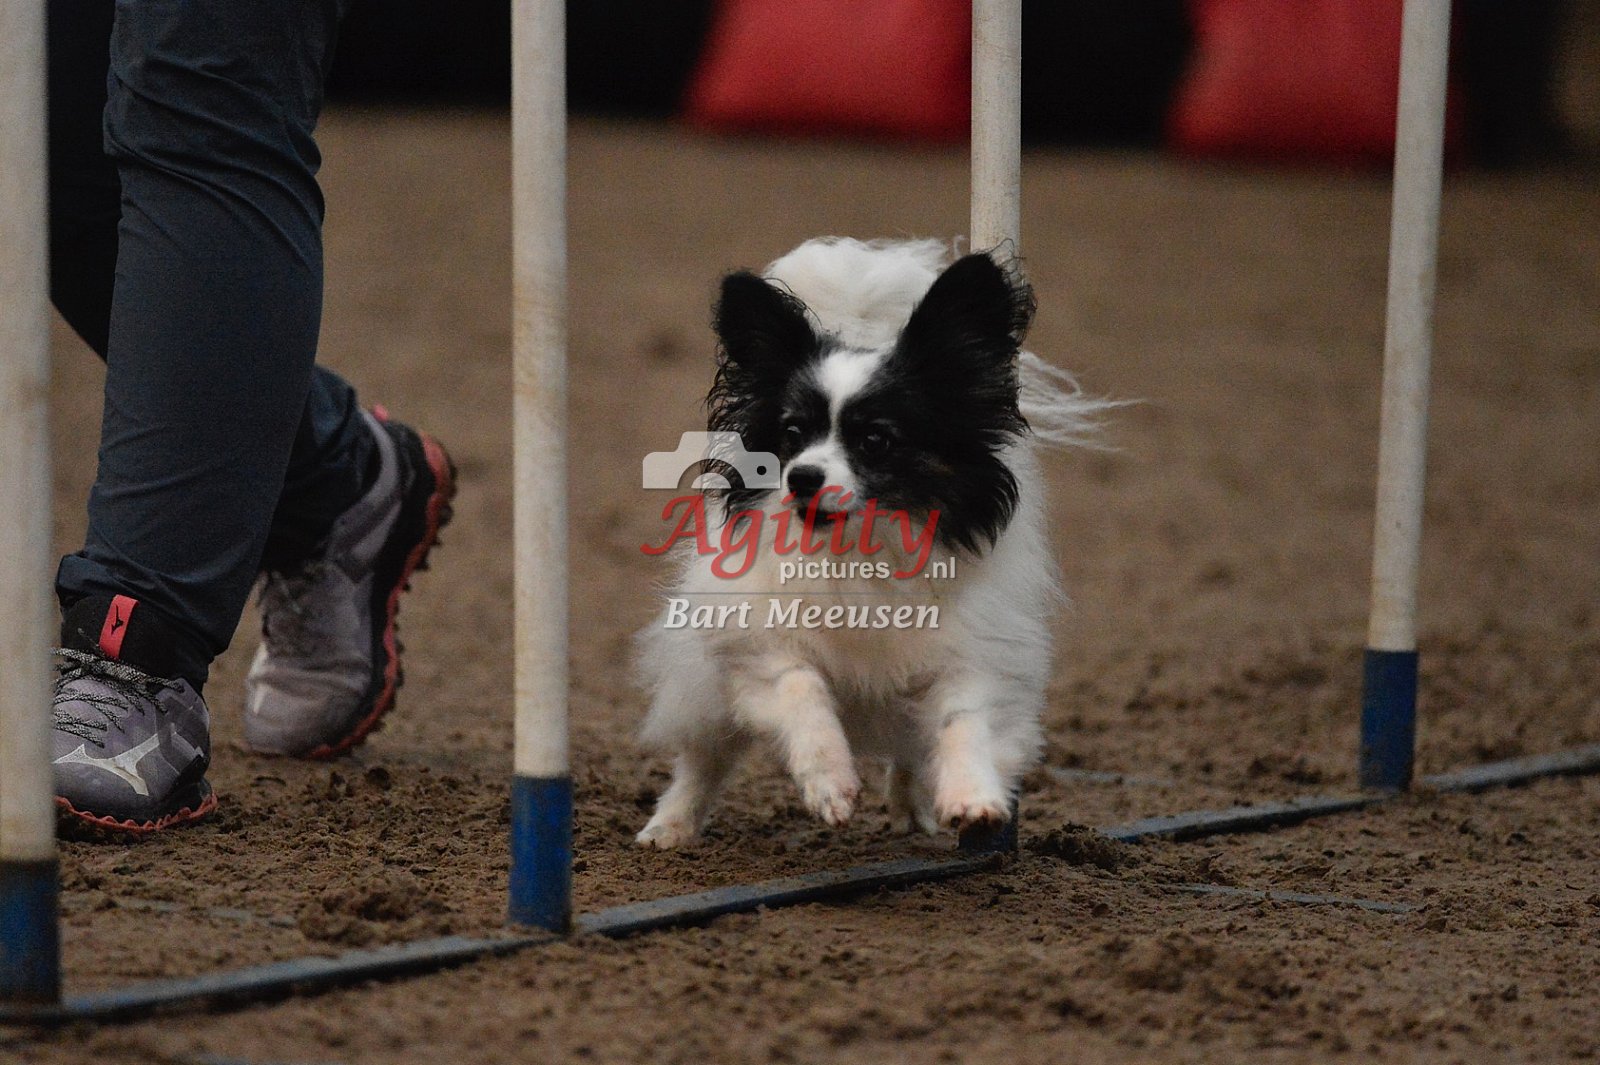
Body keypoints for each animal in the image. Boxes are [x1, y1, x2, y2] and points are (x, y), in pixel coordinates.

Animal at [635, 237, 1110, 848]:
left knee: (910, 755)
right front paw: (830, 784)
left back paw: (916, 814)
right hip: (705, 697)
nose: (802, 478)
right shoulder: (762, 648)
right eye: (792, 434)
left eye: (876, 440)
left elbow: (965, 721)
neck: (860, 551)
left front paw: (973, 798)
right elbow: (803, 691)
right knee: (703, 759)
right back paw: (670, 828)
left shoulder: (973, 657)